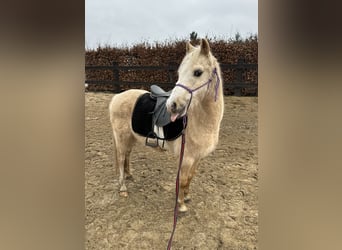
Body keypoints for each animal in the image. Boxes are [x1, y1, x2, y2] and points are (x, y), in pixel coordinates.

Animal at [108, 38, 223, 212]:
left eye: (198, 72)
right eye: (179, 73)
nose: (172, 105)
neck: (200, 121)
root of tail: (116, 97)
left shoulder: (197, 158)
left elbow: (190, 177)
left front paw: (187, 196)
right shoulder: (186, 158)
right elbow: (183, 179)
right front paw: (180, 204)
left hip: (130, 138)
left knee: (127, 155)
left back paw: (129, 175)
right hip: (121, 138)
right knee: (121, 159)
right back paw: (123, 188)